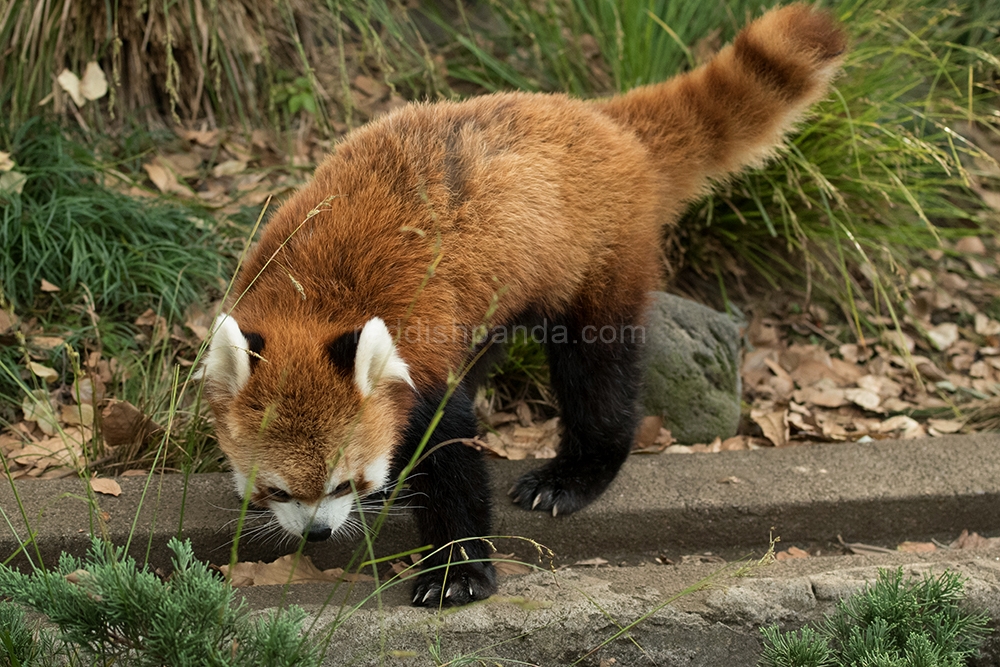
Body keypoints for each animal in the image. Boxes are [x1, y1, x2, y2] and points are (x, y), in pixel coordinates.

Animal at [199, 3, 848, 612]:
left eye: (344, 482)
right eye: (278, 490)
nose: (317, 534)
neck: (311, 301)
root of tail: (602, 120)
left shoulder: (420, 341)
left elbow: (450, 456)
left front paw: (456, 572)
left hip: (599, 255)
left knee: (598, 370)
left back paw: (577, 472)